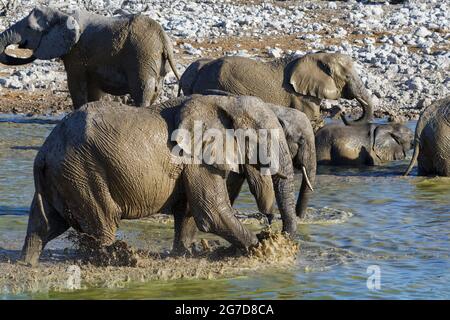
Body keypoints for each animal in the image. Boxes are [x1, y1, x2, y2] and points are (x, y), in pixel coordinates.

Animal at [0, 6, 179, 108]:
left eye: (29, 28)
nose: (21, 45)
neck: (63, 15)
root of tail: (163, 38)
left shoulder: (76, 53)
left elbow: (75, 85)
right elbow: (93, 91)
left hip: (142, 56)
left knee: (142, 90)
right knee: (154, 91)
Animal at [20, 94, 298, 264]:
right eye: (265, 137)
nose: (272, 225)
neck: (225, 102)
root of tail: (43, 154)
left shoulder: (193, 161)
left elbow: (189, 213)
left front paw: (184, 254)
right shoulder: (197, 158)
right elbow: (211, 212)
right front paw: (264, 249)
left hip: (63, 176)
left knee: (44, 224)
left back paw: (27, 262)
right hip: (83, 174)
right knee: (103, 225)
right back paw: (118, 260)